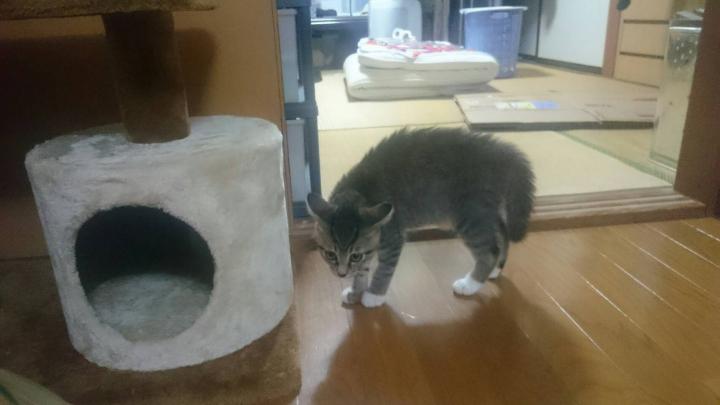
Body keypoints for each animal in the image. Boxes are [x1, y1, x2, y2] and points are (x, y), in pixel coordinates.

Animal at [307, 127, 535, 308]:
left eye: (354, 255)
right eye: (330, 254)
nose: (341, 274)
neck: (359, 191)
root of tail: (500, 153)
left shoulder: (392, 236)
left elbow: (384, 269)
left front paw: (373, 295)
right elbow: (363, 271)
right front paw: (356, 292)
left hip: (470, 216)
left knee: (488, 251)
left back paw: (471, 283)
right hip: (485, 212)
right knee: (502, 234)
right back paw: (495, 269)